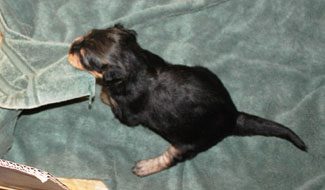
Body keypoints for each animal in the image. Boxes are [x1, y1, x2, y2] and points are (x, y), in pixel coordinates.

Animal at [67, 24, 306, 177]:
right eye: (87, 34)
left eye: (83, 57)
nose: (71, 46)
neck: (137, 65)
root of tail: (234, 116)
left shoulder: (129, 113)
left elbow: (112, 99)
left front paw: (104, 92)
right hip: (205, 72)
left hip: (189, 144)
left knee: (171, 159)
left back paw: (145, 167)